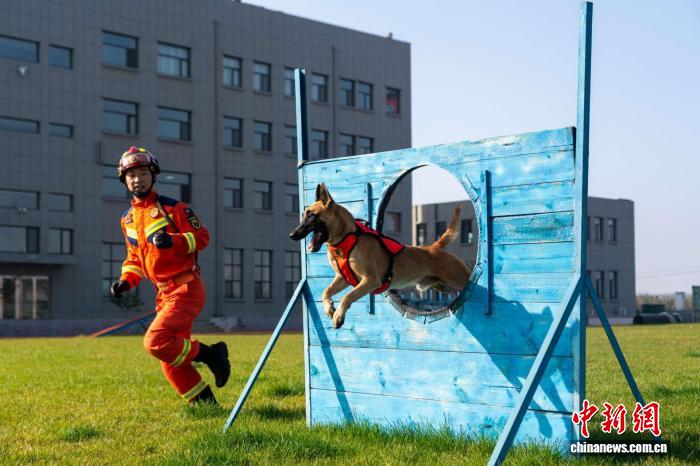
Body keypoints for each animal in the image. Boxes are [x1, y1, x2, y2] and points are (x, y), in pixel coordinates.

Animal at [290, 183, 472, 329]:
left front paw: (338, 316)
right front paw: (330, 309)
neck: (348, 238)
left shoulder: (370, 280)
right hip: (441, 286)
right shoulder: (342, 278)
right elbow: (325, 292)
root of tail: (433, 247)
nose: (292, 235)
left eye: (311, 215)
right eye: (303, 214)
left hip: (459, 278)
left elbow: (347, 297)